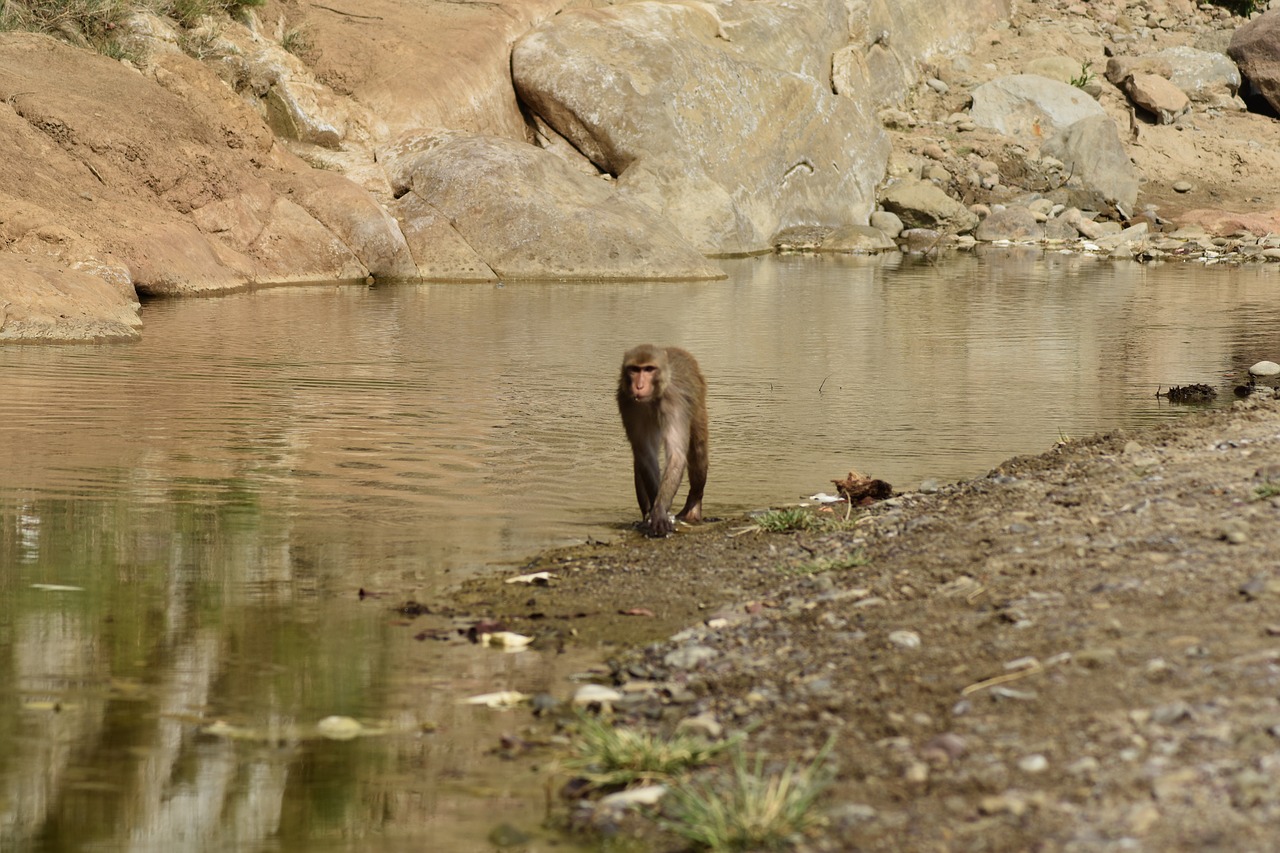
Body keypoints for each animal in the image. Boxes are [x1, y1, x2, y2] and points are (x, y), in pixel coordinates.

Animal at [611, 343, 706, 535]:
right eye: (634, 369)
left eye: (649, 369)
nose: (639, 386)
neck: (653, 398)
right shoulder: (627, 403)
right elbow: (645, 454)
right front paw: (656, 510)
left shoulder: (675, 402)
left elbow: (676, 455)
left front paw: (660, 510)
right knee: (639, 459)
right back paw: (645, 513)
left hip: (698, 401)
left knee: (698, 450)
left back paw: (693, 504)